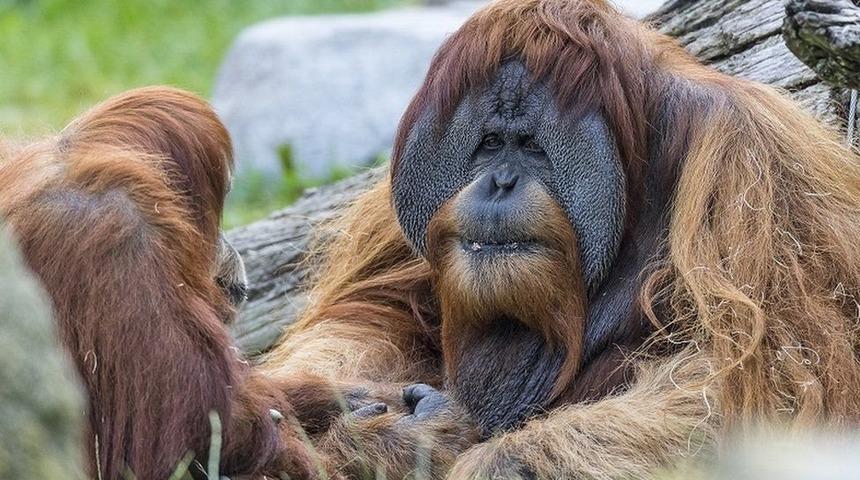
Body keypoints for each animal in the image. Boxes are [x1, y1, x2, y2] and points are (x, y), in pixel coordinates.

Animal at [261, 0, 860, 478]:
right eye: (490, 144)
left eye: (530, 145)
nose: (500, 182)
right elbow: (376, 311)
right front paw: (384, 434)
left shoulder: (753, 161)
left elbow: (769, 379)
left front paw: (487, 459)